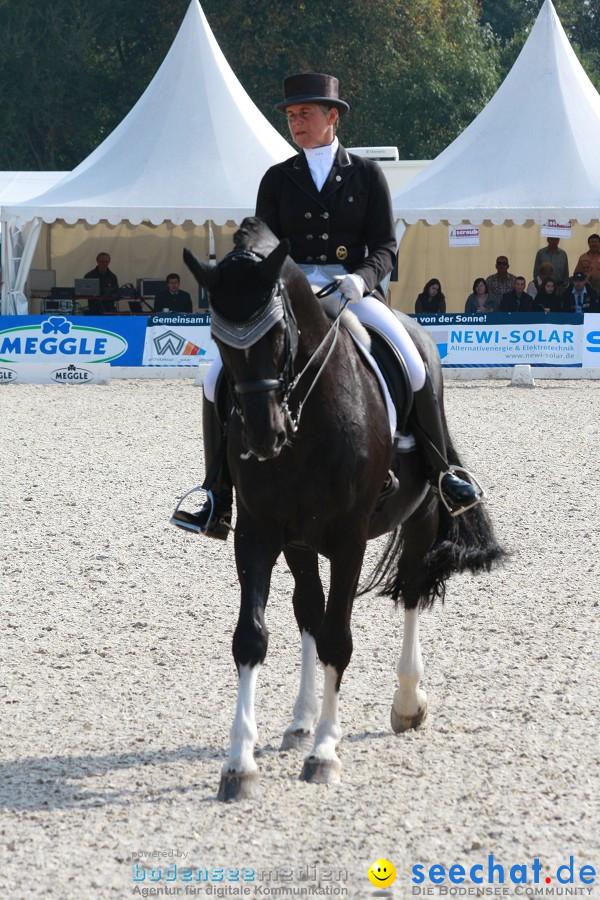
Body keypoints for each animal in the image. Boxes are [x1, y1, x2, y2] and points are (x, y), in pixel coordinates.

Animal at [183, 218, 502, 800]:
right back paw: (300, 720)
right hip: (299, 543)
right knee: (309, 610)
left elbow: (338, 637)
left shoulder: (348, 539)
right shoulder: (259, 534)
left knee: (412, 593)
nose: (262, 437)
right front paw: (240, 763)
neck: (305, 418)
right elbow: (253, 636)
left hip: (421, 515)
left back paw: (406, 703)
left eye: (278, 334)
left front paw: (326, 752)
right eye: (219, 340)